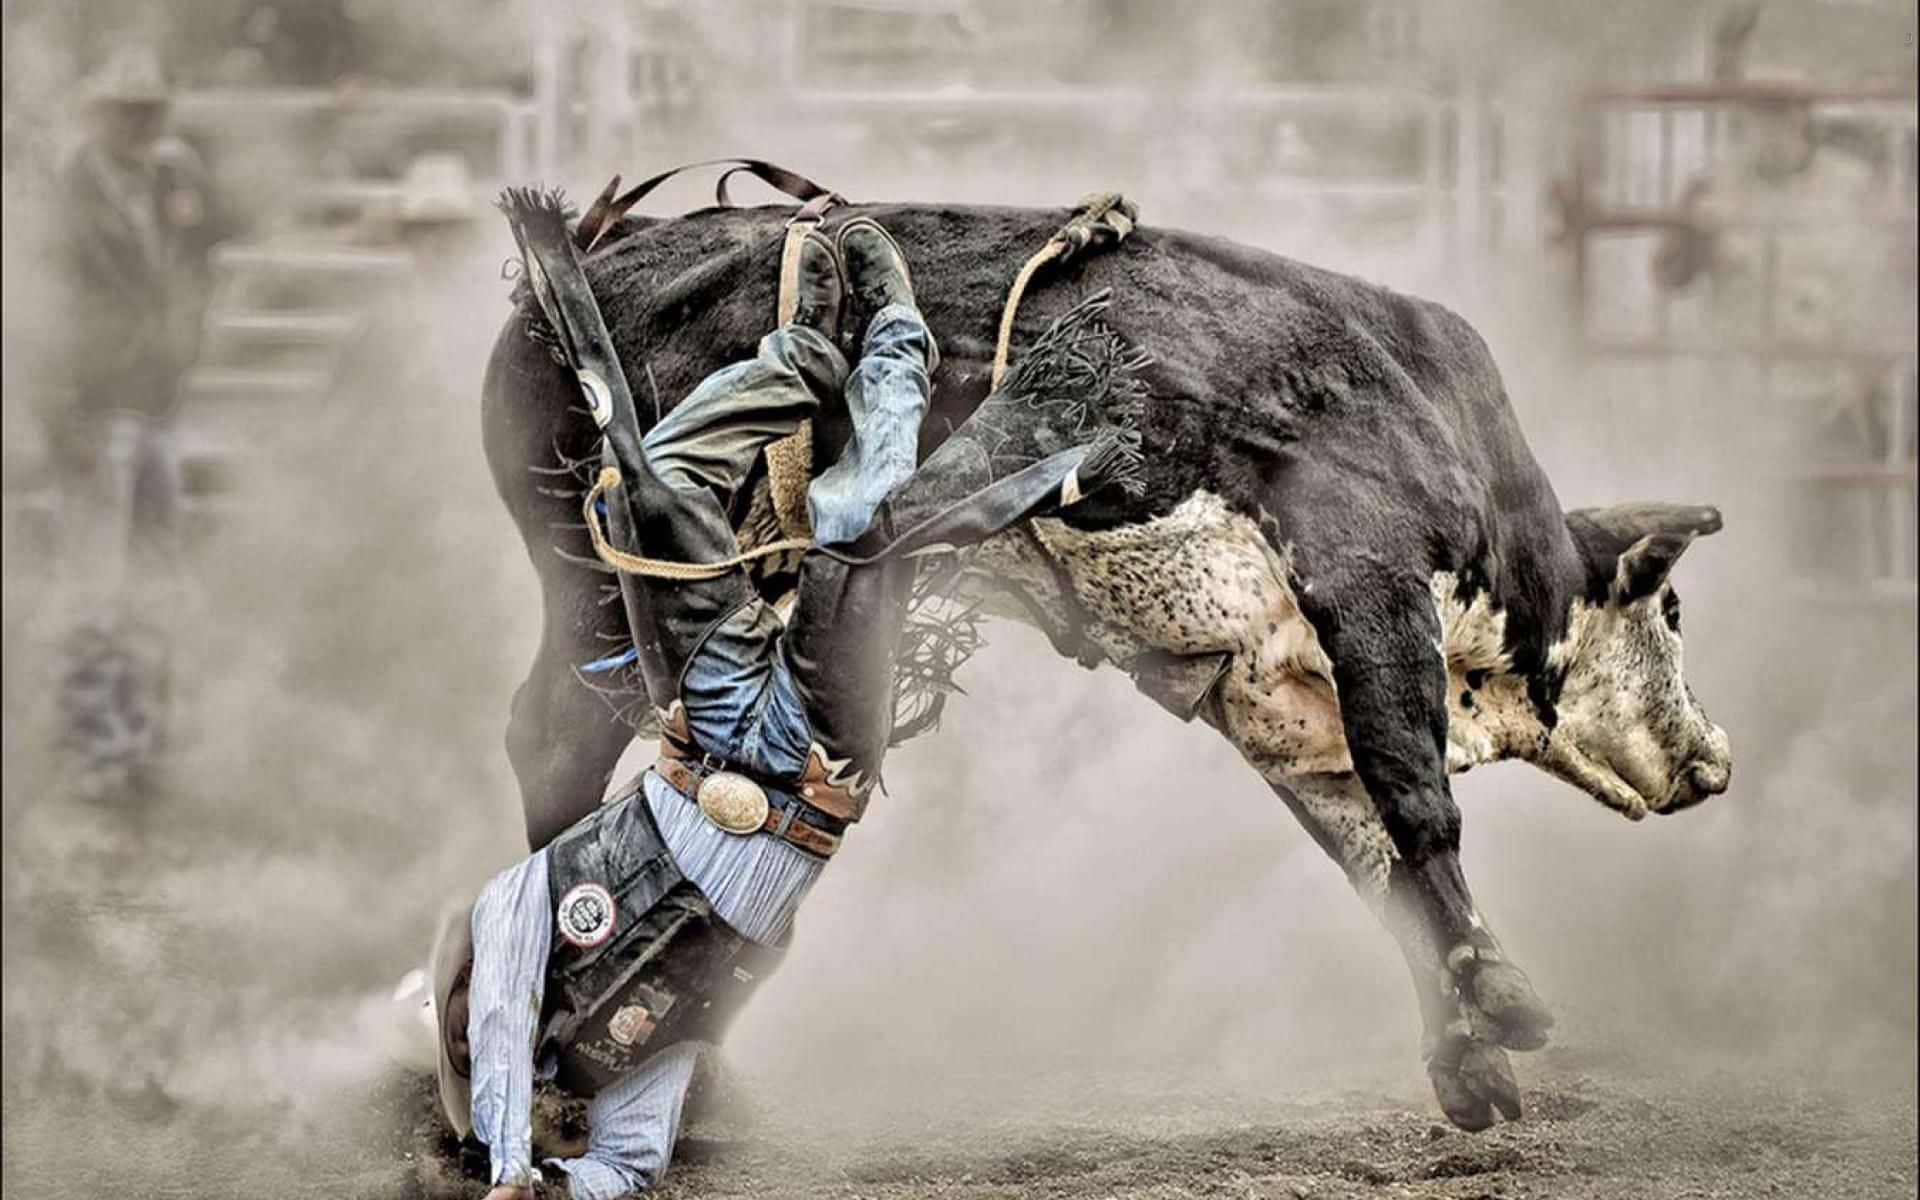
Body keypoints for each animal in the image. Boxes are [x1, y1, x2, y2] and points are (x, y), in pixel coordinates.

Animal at [479, 201, 1733, 1132]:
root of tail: (592, 253)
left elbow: (1375, 861)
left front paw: (1469, 1063)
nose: (1713, 762)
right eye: (1673, 607)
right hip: (604, 577)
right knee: (561, 735)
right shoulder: (1364, 569)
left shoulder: (1282, 711)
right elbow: (1418, 800)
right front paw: (1507, 1004)